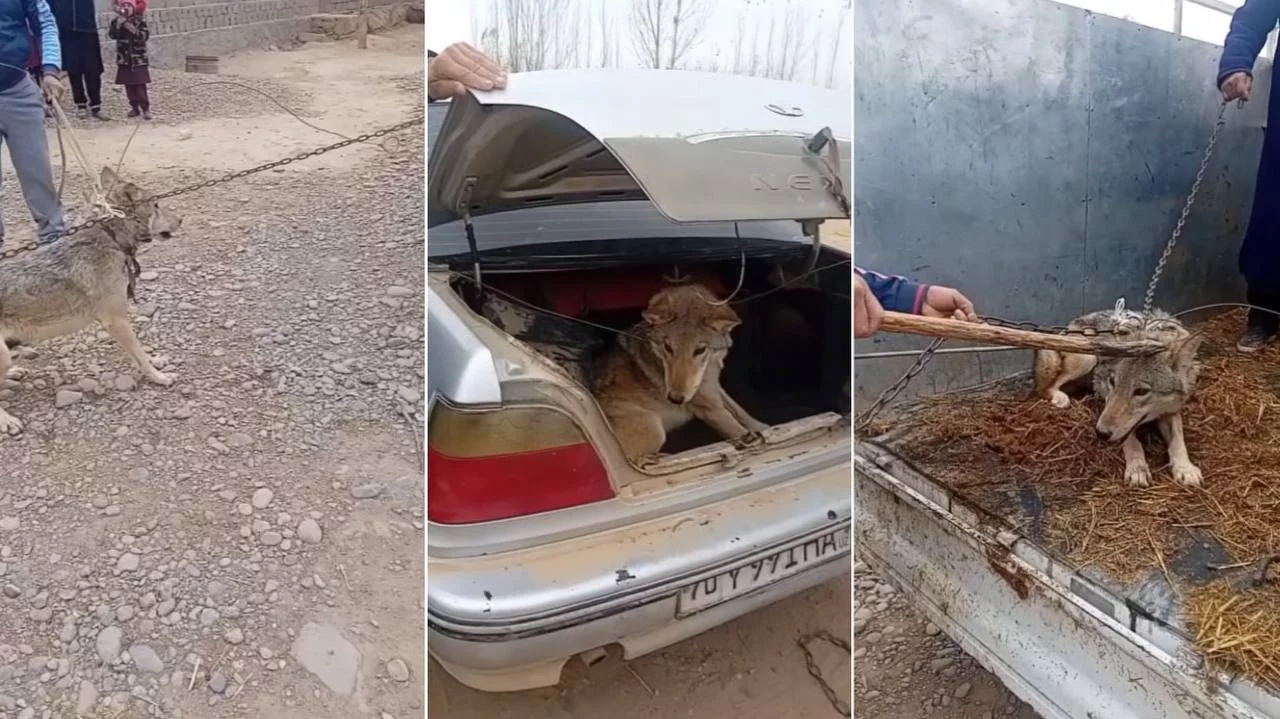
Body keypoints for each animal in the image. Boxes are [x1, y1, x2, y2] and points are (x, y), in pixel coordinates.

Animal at [0, 167, 181, 434]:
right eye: (156, 205)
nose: (180, 220)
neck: (109, 237)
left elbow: (142, 354)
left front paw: (156, 361)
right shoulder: (116, 322)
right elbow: (140, 355)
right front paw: (159, 377)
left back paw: (14, 373)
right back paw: (7, 421)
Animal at [591, 280, 762, 458]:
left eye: (700, 349)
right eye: (668, 347)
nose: (675, 399)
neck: (708, 369)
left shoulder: (713, 388)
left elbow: (740, 412)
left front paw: (762, 427)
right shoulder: (709, 408)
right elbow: (736, 427)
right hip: (653, 429)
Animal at [1034, 304, 1203, 483]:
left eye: (1141, 391)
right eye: (1112, 382)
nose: (1100, 433)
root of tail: (1069, 325)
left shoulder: (1172, 410)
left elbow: (1178, 438)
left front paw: (1185, 468)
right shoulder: (1106, 398)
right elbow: (1131, 440)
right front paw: (1137, 468)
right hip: (1088, 359)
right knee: (1045, 387)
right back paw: (1059, 397)